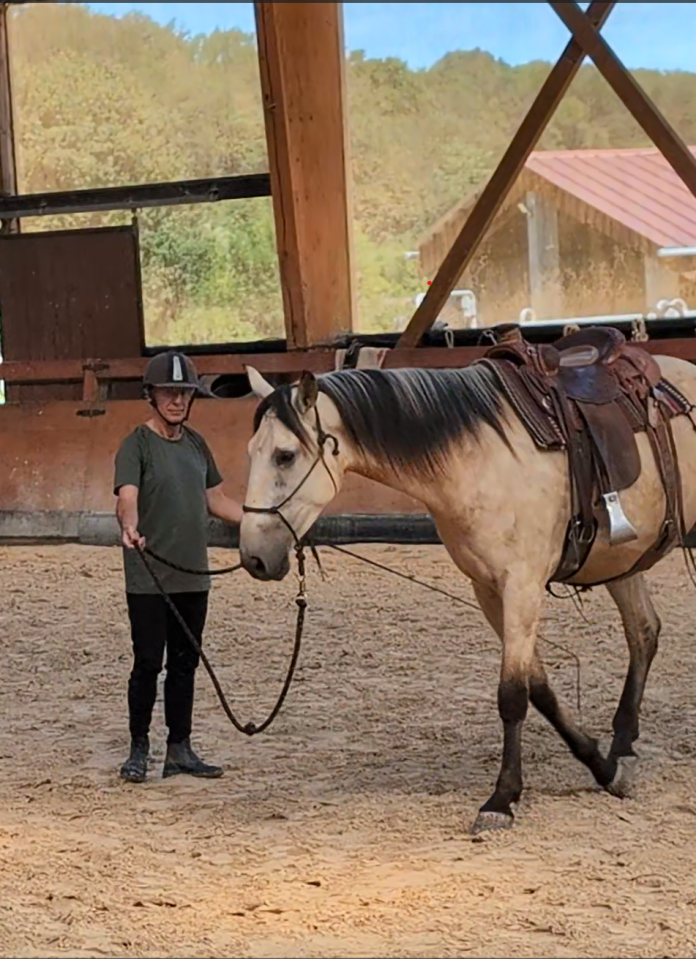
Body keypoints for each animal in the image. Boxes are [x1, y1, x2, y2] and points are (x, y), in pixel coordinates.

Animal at [238, 339, 696, 835]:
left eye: (285, 455)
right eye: (251, 451)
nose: (254, 557)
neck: (481, 454)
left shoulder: (522, 587)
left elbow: (512, 695)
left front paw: (501, 799)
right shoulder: (488, 590)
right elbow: (538, 689)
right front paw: (602, 766)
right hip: (622, 562)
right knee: (643, 633)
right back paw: (624, 747)